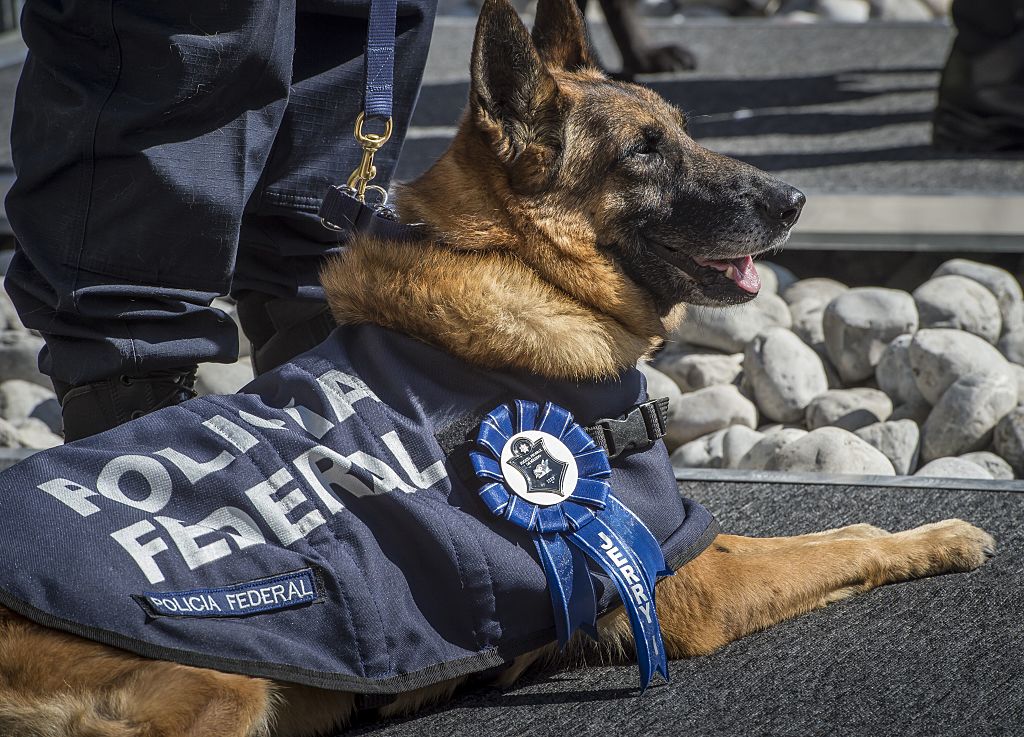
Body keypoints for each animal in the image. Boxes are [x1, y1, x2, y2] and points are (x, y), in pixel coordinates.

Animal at [0, 1, 995, 737]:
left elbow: (826, 535)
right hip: (219, 688)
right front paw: (935, 536)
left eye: (680, 130)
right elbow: (838, 542)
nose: (793, 199)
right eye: (643, 152)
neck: (523, 267)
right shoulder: (690, 584)